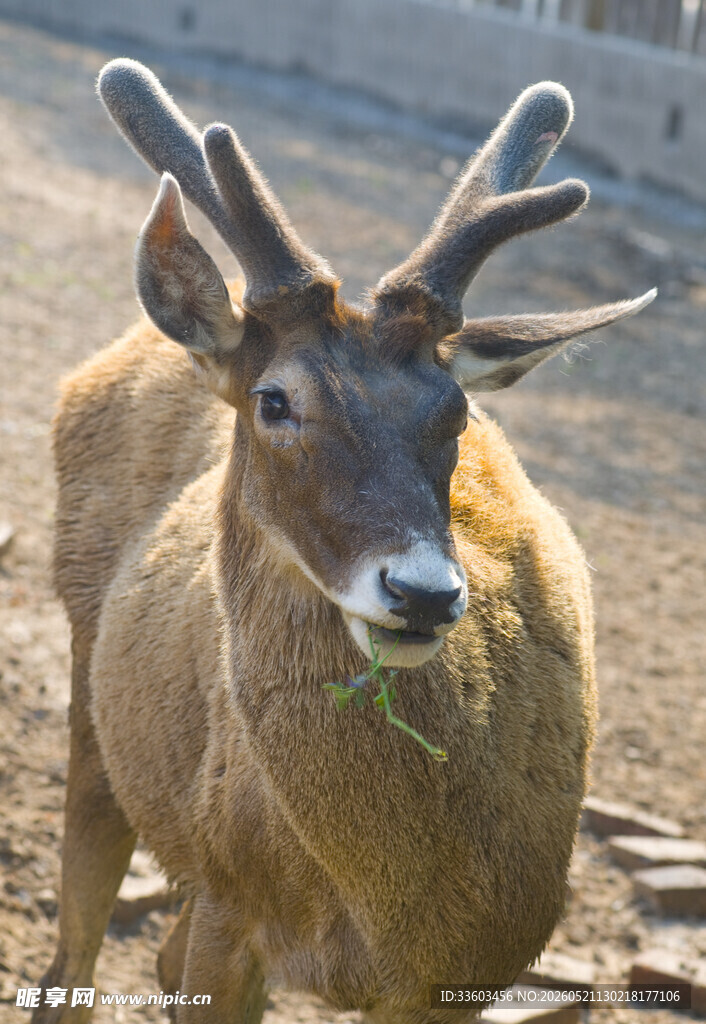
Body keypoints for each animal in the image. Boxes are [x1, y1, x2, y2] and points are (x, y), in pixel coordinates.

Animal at [34, 58, 654, 1024]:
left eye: (458, 410)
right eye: (275, 399)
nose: (422, 592)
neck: (377, 910)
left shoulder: (479, 961)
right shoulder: (230, 900)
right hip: (90, 688)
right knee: (75, 952)